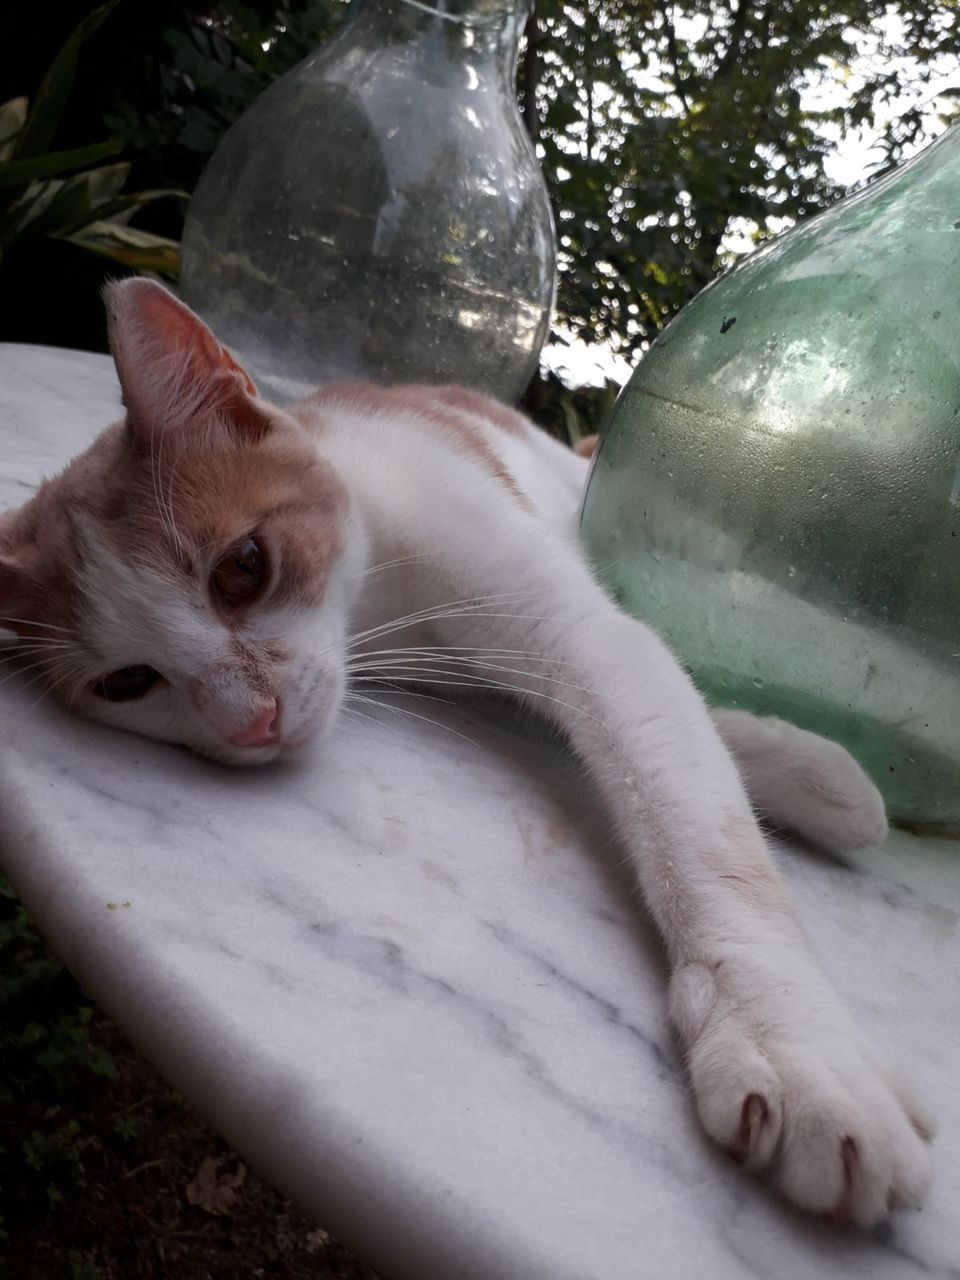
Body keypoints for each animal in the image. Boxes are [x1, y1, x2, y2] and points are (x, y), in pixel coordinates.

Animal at [0, 282, 931, 1228]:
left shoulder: (554, 612)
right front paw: (809, 773)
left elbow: (683, 795)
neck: (376, 598)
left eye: (243, 568)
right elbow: (654, 720)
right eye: (126, 682)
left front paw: (793, 1042)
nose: (251, 721)